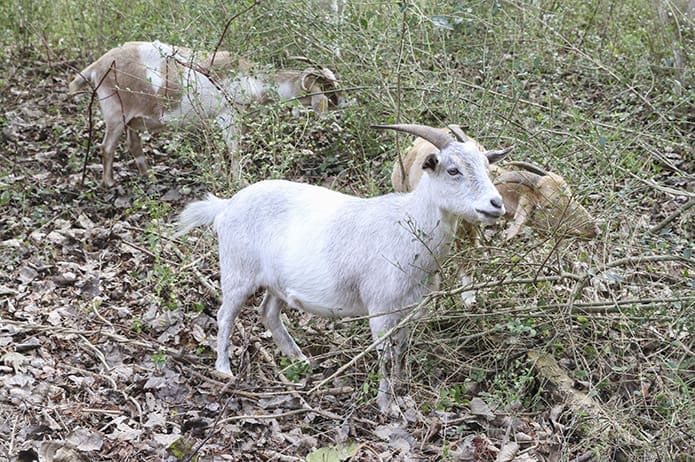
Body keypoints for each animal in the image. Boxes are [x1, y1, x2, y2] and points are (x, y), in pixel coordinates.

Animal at [68, 41, 344, 186]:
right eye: (328, 88)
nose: (342, 104)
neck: (252, 78)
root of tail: (96, 66)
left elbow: (222, 151)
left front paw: (222, 174)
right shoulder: (228, 116)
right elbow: (234, 151)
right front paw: (239, 181)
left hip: (134, 119)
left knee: (133, 144)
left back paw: (150, 177)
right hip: (115, 112)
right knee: (107, 147)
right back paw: (109, 182)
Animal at [176, 123, 510, 414]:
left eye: (487, 167)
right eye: (453, 170)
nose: (496, 204)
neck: (407, 225)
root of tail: (226, 205)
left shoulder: (409, 309)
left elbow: (401, 350)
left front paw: (402, 389)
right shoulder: (380, 310)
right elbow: (385, 355)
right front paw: (388, 405)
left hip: (277, 283)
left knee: (268, 312)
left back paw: (301, 360)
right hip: (237, 271)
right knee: (225, 315)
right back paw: (224, 369)